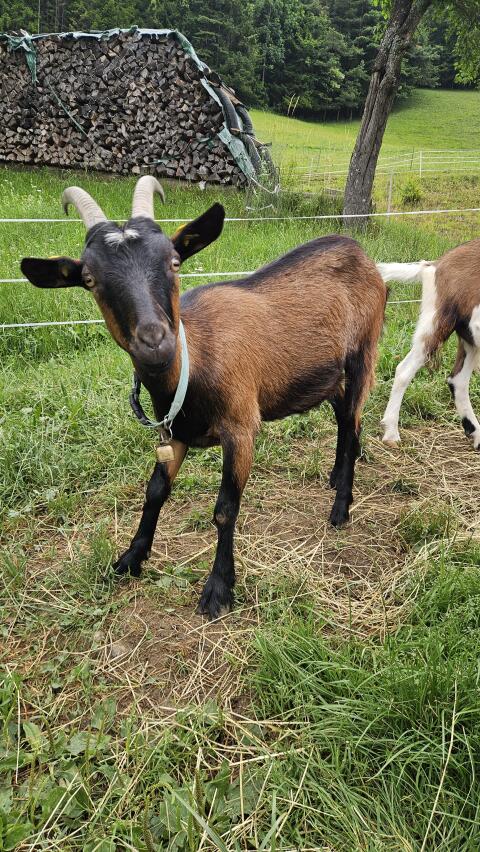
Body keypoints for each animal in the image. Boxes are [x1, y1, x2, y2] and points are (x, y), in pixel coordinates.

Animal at [21, 176, 387, 619]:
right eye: (89, 279)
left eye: (174, 261)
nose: (154, 341)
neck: (194, 364)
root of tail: (360, 252)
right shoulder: (175, 432)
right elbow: (155, 492)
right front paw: (130, 558)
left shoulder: (241, 427)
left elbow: (225, 509)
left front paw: (218, 589)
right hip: (325, 373)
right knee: (345, 416)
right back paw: (336, 477)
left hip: (364, 351)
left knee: (351, 419)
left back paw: (340, 508)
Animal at [378, 243, 480, 449]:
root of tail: (436, 265)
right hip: (437, 321)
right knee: (404, 370)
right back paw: (391, 433)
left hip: (467, 336)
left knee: (458, 380)